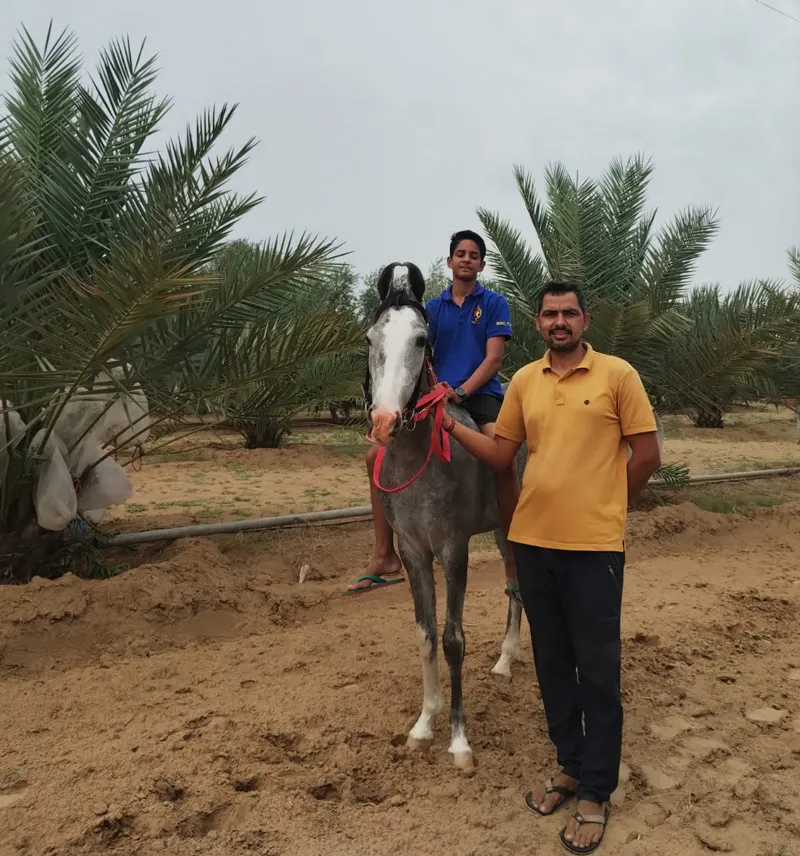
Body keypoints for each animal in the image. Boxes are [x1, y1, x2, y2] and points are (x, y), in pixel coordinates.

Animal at [366, 262, 528, 776]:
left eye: (422, 340)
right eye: (370, 337)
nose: (384, 421)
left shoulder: (453, 549)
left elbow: (453, 639)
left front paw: (459, 740)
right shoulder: (414, 552)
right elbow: (425, 635)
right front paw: (425, 724)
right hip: (503, 532)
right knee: (515, 585)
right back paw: (505, 661)